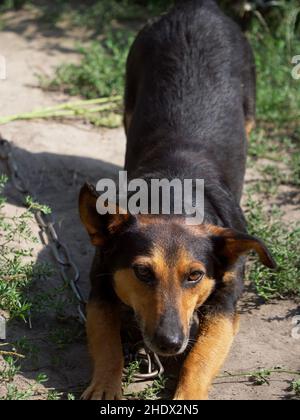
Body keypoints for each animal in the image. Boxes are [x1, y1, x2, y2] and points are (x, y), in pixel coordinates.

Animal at [78, 0, 276, 400]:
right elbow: (106, 342)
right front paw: (106, 384)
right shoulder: (100, 286)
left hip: (249, 103)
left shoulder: (226, 305)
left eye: (195, 275)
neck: (172, 196)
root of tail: (197, 7)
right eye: (142, 272)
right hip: (130, 95)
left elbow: (200, 357)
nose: (168, 343)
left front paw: (188, 392)